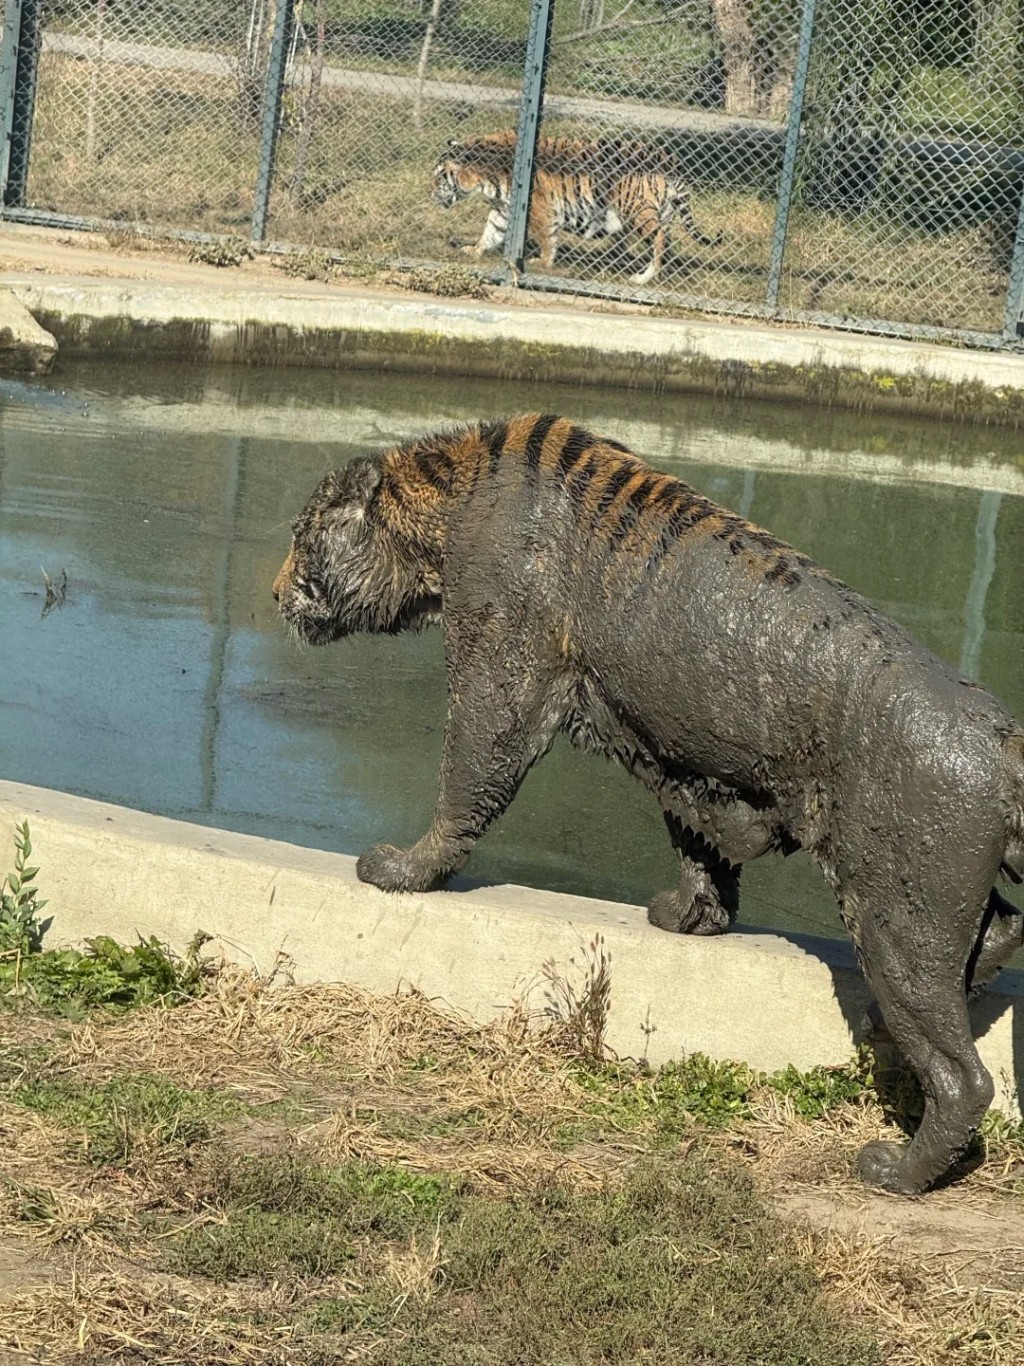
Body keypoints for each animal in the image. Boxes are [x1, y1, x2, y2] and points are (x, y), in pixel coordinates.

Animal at [274, 412, 1024, 1199]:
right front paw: (694, 917)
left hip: (897, 925)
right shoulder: (672, 749)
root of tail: (1005, 742)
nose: (272, 592)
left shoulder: (499, 665)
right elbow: (697, 837)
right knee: (1000, 933)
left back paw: (895, 1172)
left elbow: (468, 772)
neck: (442, 507)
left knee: (962, 1076)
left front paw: (403, 870)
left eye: (302, 534)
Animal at [430, 129, 720, 284]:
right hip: (661, 213)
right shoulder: (503, 209)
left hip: (638, 211)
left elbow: (546, 239)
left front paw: (542, 263)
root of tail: (671, 160)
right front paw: (473, 250)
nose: (429, 192)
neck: (487, 176)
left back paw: (642, 277)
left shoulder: (540, 209)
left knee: (658, 240)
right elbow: (490, 232)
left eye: (440, 176)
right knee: (664, 241)